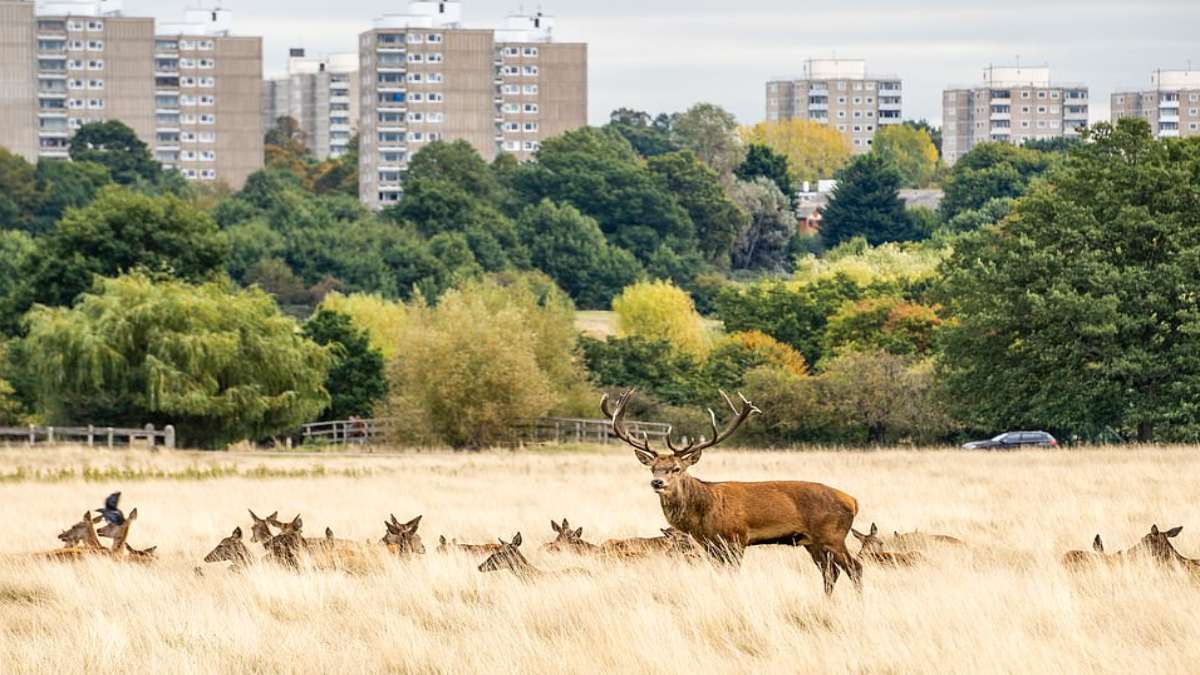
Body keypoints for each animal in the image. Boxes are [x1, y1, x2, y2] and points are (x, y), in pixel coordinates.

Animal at [609, 389, 864, 593]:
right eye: (653, 468)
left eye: (676, 468)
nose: (657, 483)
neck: (703, 514)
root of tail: (853, 501)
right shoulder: (710, 545)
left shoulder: (736, 538)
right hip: (811, 541)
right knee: (831, 572)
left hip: (833, 535)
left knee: (855, 568)